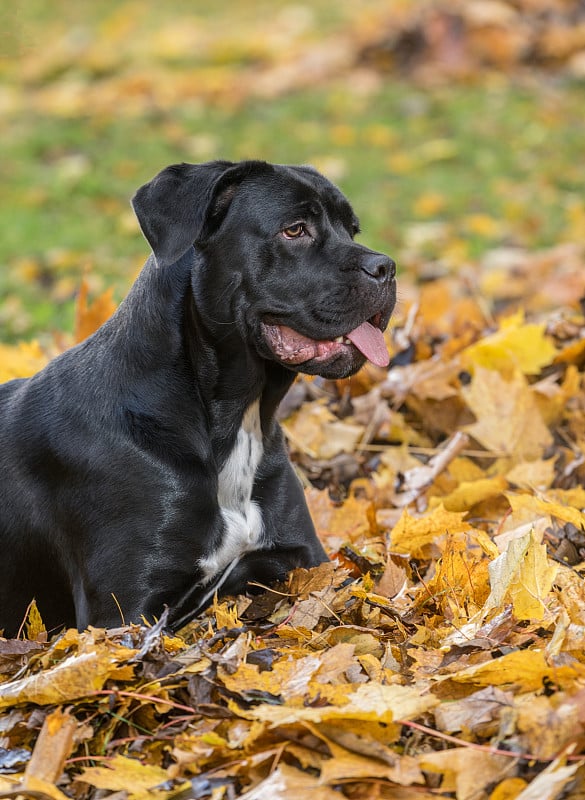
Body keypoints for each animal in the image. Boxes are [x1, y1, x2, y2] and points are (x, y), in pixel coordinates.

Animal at [0, 161, 396, 636]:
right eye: (295, 229)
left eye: (352, 230)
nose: (386, 267)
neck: (235, 418)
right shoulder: (123, 613)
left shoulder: (307, 559)